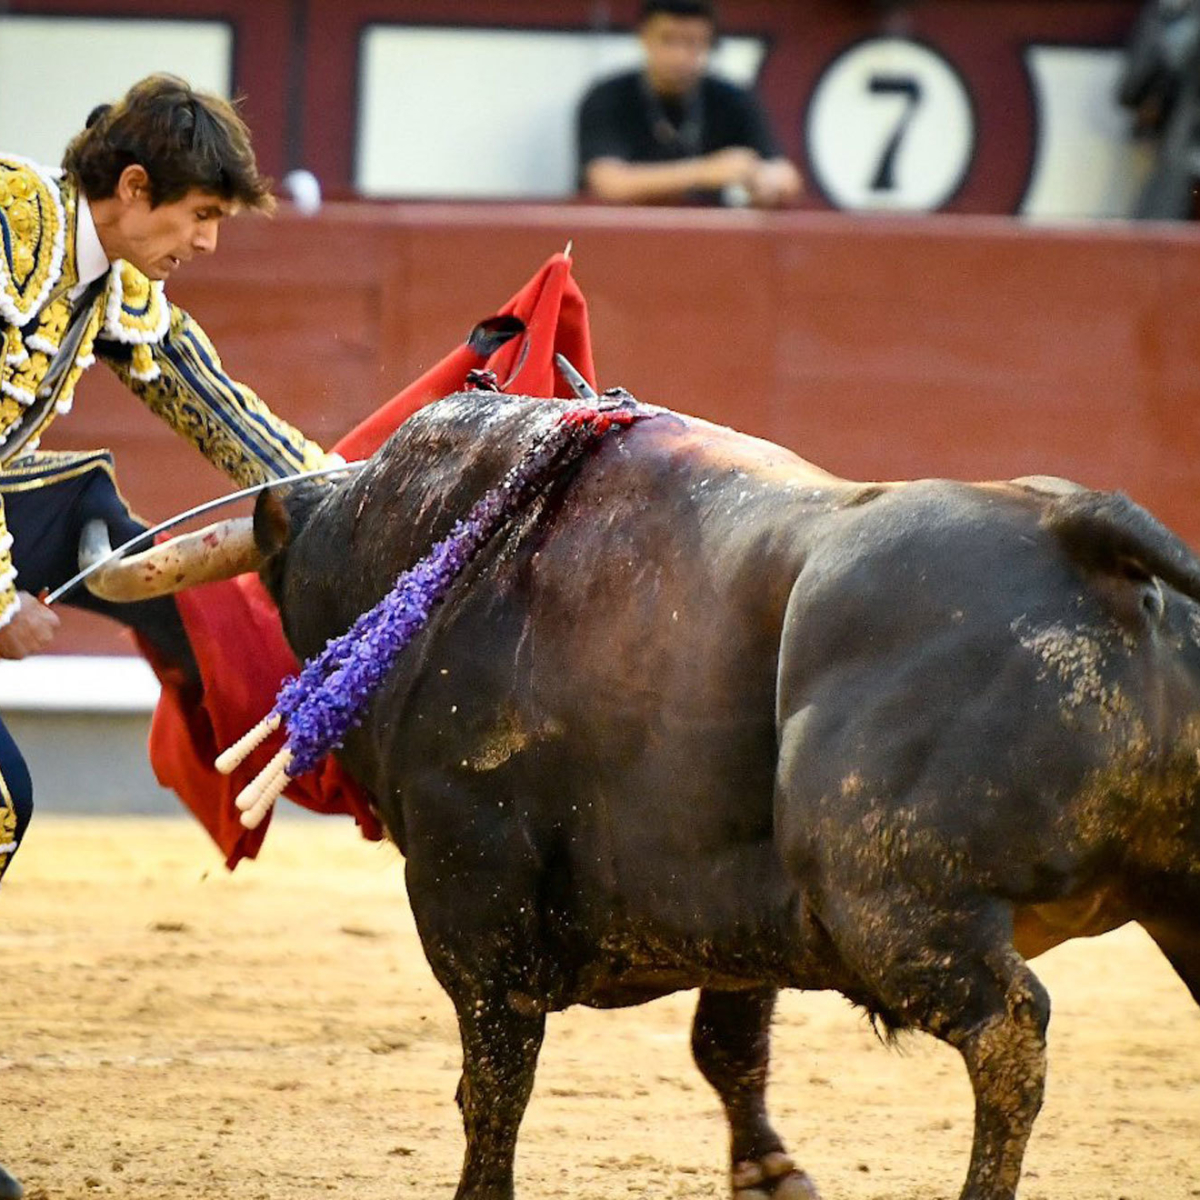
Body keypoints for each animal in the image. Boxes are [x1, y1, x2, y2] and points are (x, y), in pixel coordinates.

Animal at [87, 388, 1200, 1195]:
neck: (449, 549)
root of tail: (1073, 527)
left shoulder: (467, 896)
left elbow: (494, 1080)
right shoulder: (736, 916)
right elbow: (726, 1048)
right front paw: (771, 1174)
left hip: (891, 901)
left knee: (1008, 1035)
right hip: (1162, 898)